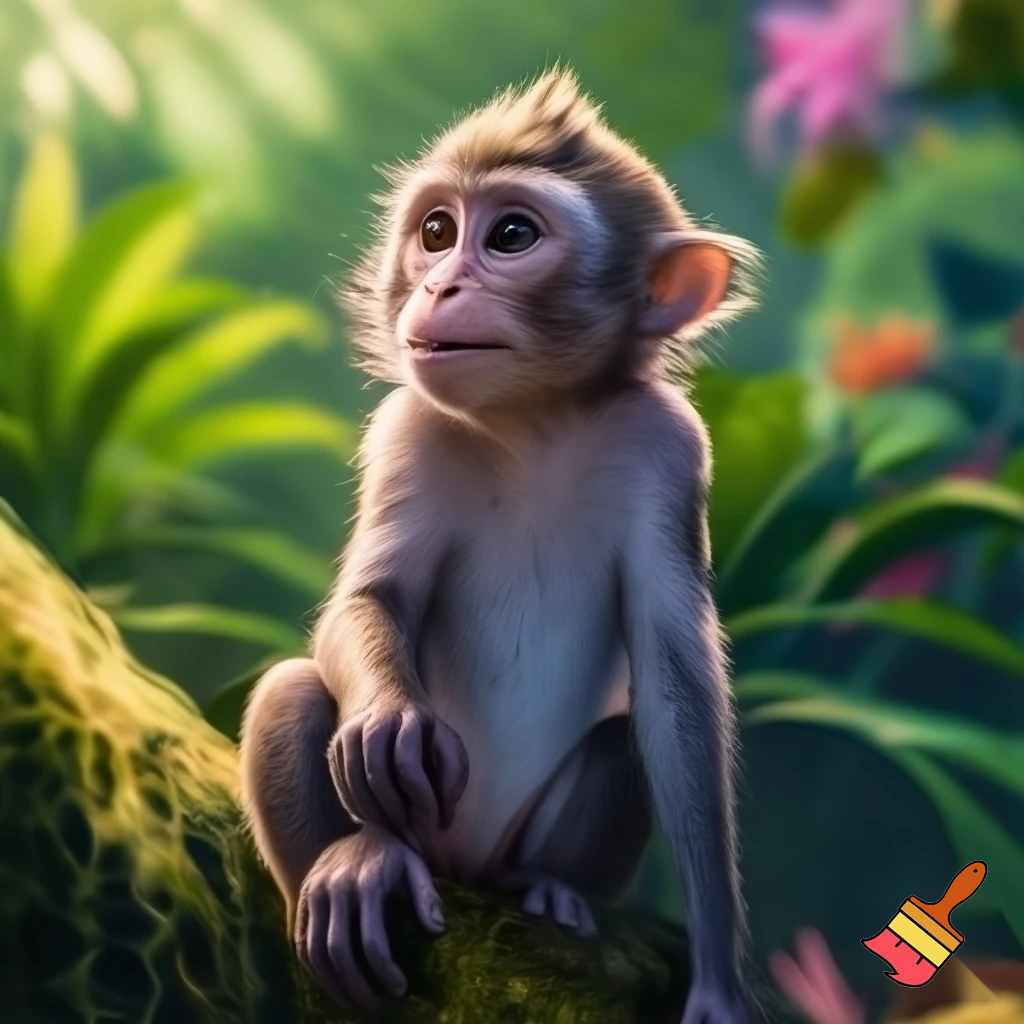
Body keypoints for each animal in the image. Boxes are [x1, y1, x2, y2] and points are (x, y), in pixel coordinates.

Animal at [239, 68, 763, 1024]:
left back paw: (549, 887)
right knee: (294, 689)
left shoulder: (670, 451)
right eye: (437, 232)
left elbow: (677, 687)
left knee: (622, 743)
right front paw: (388, 719)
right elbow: (371, 602)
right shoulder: (407, 429)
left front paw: (718, 980)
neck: (534, 424)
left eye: (513, 235)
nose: (440, 287)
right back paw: (360, 861)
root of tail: (464, 865)